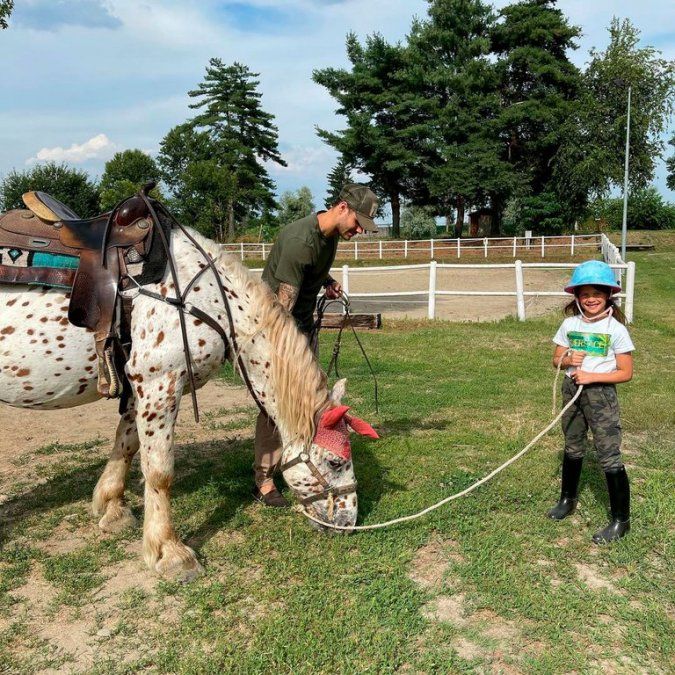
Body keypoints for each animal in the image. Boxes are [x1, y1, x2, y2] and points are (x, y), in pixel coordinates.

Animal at [0, 223, 375, 581]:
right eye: (336, 462)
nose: (348, 522)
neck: (210, 299)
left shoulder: (141, 388)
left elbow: (126, 445)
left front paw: (112, 508)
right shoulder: (159, 383)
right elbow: (160, 471)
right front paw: (170, 553)